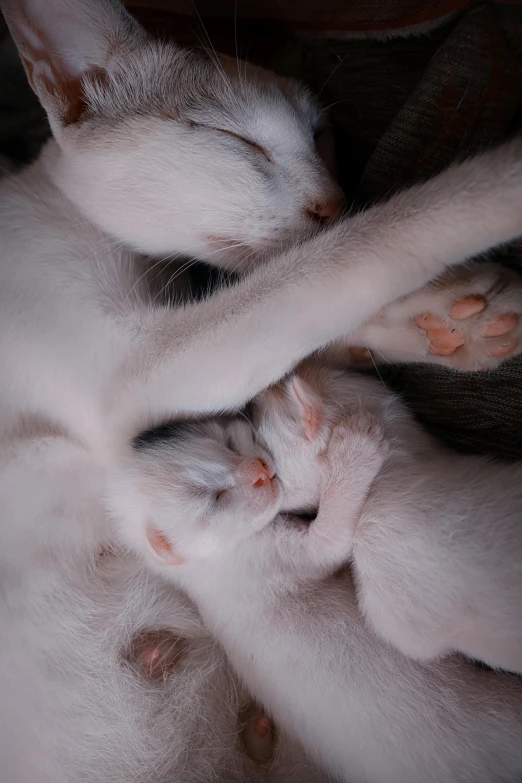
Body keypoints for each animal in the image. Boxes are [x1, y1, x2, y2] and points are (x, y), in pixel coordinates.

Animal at [108, 410, 520, 783]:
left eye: (227, 444)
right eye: (215, 498)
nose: (259, 469)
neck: (208, 564)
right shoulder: (267, 560)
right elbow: (329, 544)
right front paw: (354, 450)